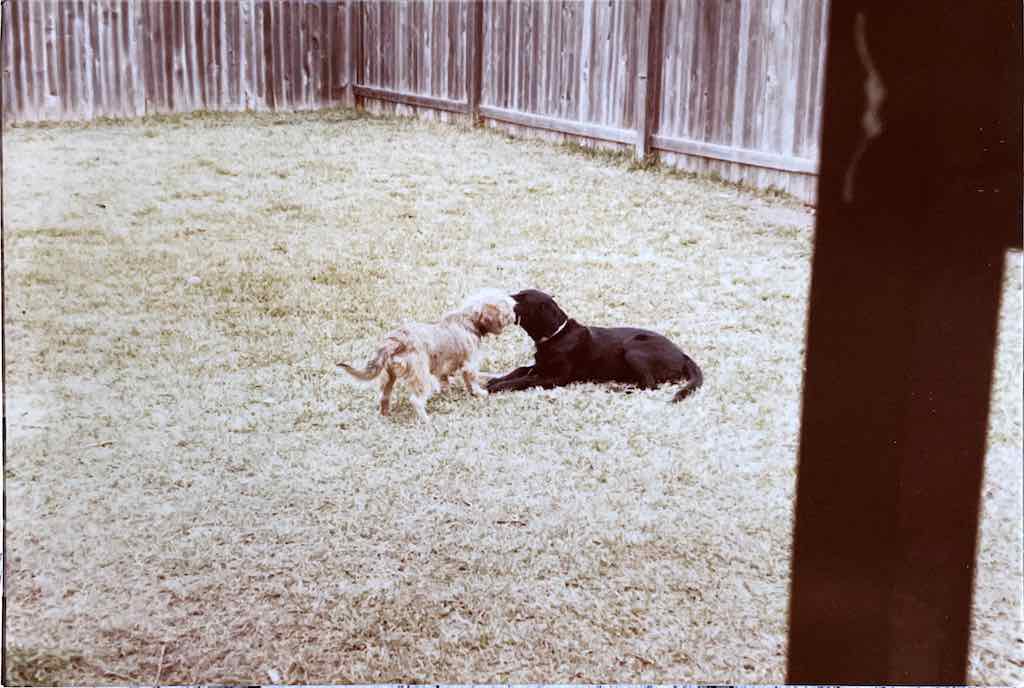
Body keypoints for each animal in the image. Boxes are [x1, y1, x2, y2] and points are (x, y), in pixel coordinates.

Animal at [337, 288, 516, 421]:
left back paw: (385, 414)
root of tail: (396, 339)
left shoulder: (444, 368)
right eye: (507, 310)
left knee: (383, 396)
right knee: (416, 400)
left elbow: (445, 381)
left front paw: (448, 393)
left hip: (388, 376)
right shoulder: (469, 364)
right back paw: (425, 420)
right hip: (420, 376)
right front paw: (479, 392)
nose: (515, 316)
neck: (468, 319)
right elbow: (471, 380)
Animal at [483, 286, 700, 401]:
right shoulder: (540, 366)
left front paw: (497, 387)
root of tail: (683, 355)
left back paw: (617, 389)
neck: (556, 335)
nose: (500, 298)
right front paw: (495, 380)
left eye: (521, 299)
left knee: (650, 385)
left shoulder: (556, 377)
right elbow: (520, 370)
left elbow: (524, 380)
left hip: (633, 350)